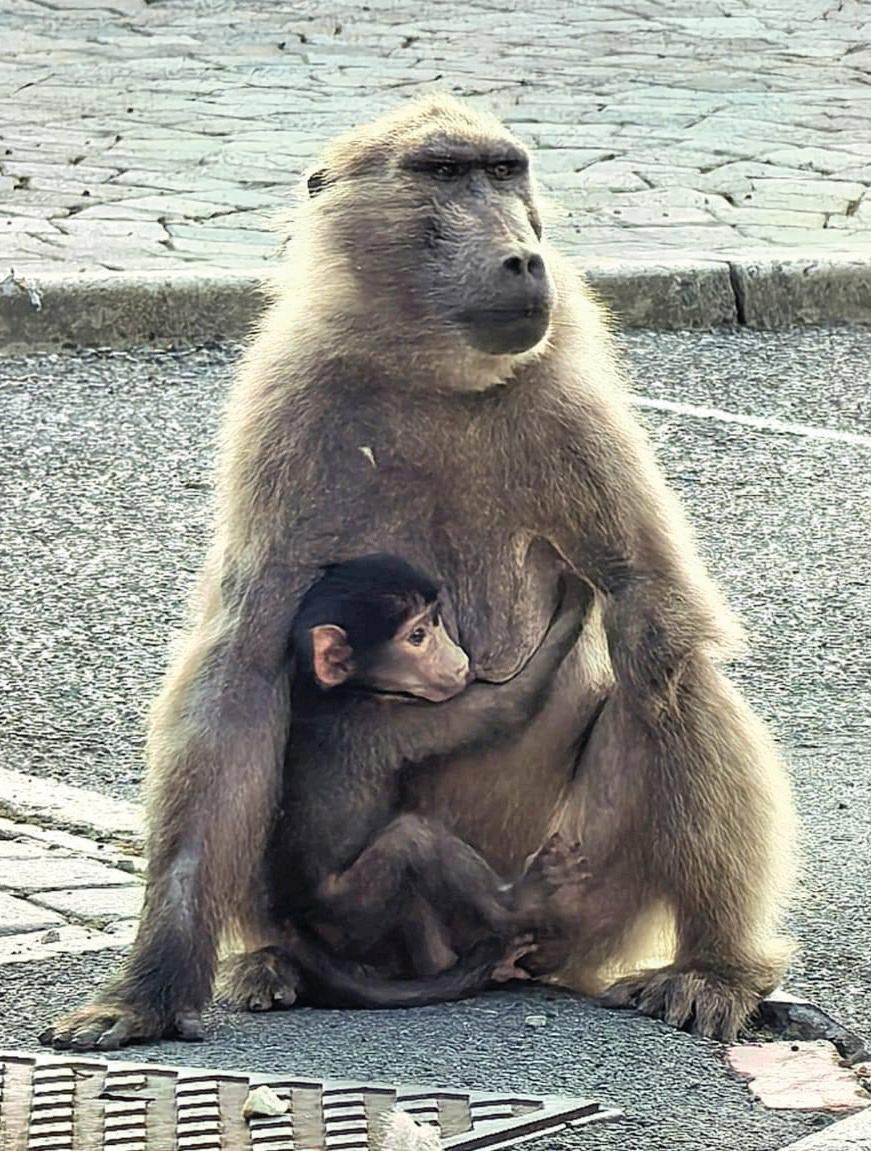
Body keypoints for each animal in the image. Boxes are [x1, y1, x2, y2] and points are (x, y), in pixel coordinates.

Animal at [41, 94, 795, 1052]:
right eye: (442, 173)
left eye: (504, 171)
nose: (523, 255)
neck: (427, 371)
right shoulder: (289, 403)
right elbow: (239, 669)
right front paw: (149, 988)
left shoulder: (565, 398)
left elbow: (645, 605)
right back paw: (277, 962)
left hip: (584, 895)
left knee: (660, 670)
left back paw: (711, 968)